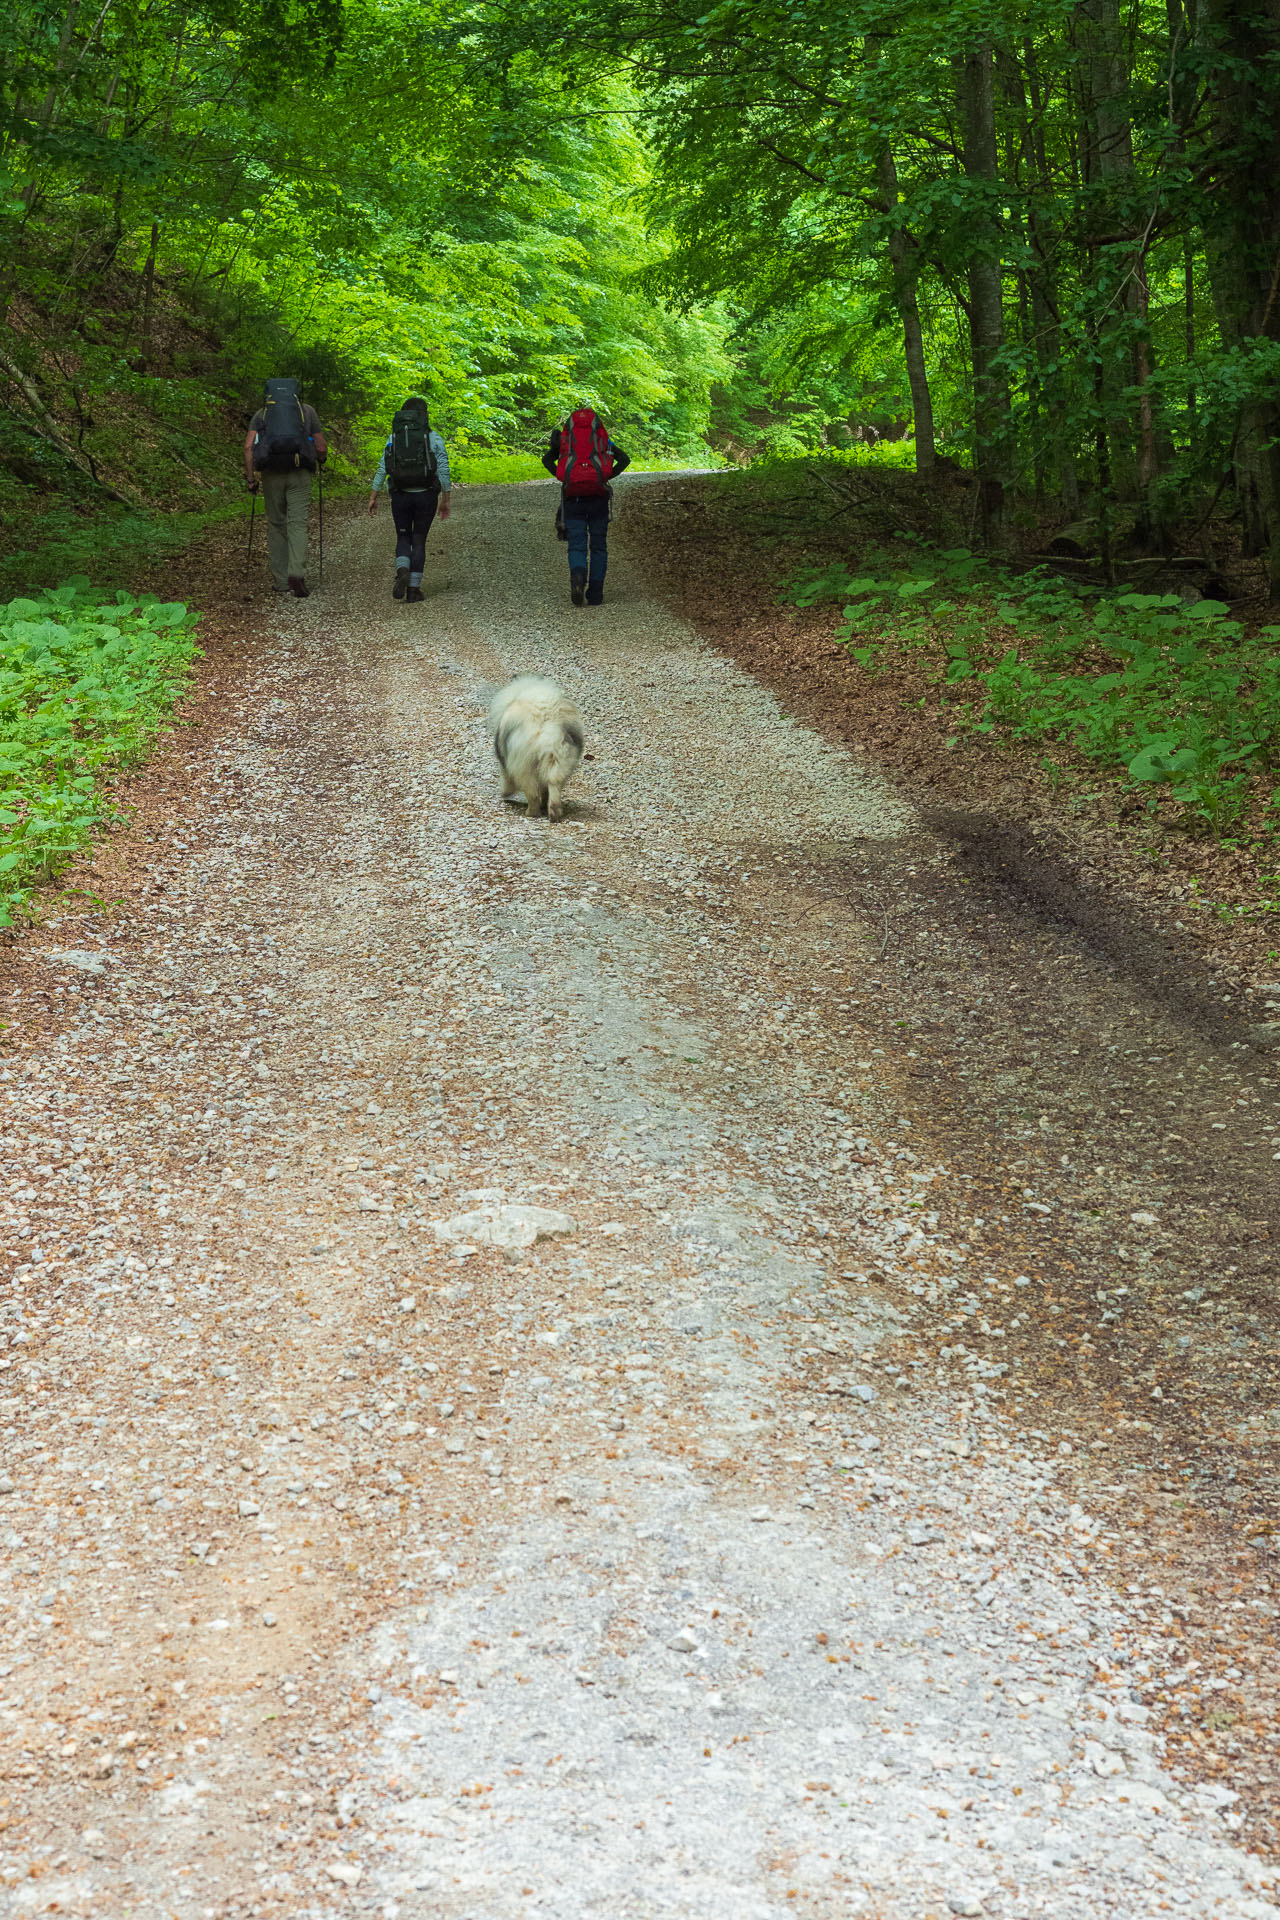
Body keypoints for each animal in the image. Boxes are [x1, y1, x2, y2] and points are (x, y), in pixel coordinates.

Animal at [485, 679, 587, 821]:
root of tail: (549, 726)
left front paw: (505, 794)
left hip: (524, 765)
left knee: (532, 792)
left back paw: (531, 812)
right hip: (560, 760)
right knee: (553, 785)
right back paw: (553, 812)